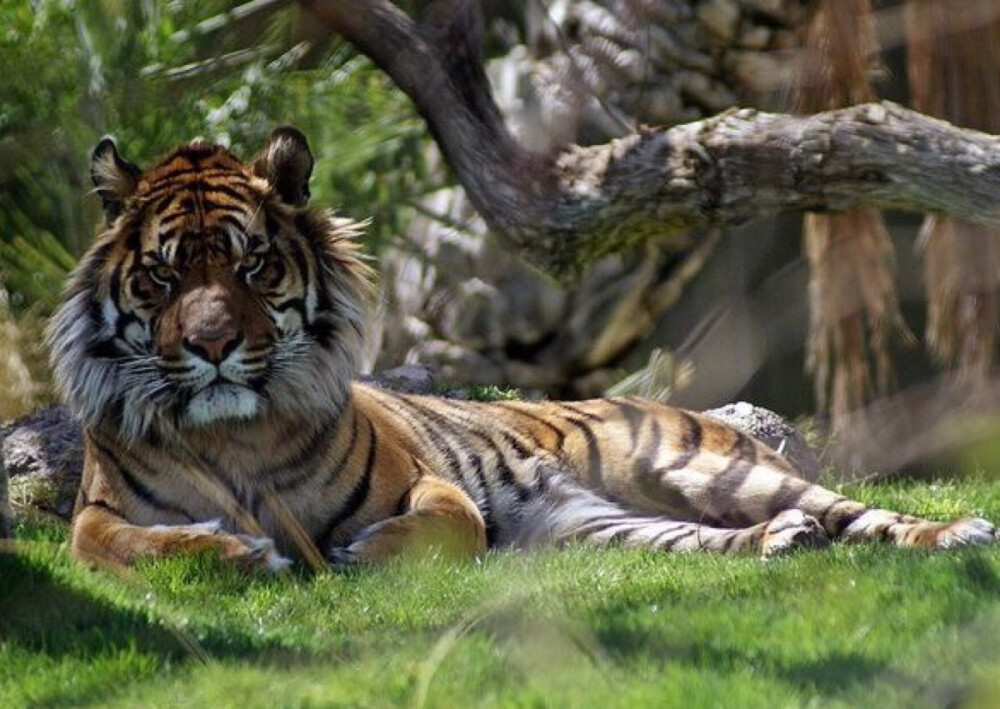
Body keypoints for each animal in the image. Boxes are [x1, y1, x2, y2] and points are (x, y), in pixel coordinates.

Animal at [48, 126, 1000, 568]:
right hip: (605, 526)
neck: (234, 429)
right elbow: (137, 546)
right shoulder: (94, 516)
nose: (212, 344)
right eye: (165, 276)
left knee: (856, 510)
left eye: (253, 265)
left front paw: (357, 551)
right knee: (724, 539)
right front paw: (240, 551)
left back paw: (956, 531)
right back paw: (783, 542)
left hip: (713, 470)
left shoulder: (424, 482)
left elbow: (452, 521)